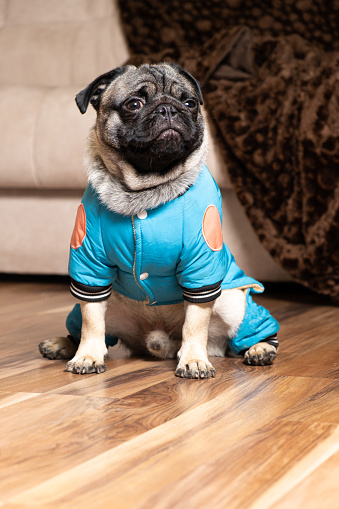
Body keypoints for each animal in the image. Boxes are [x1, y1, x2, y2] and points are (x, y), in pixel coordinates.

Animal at [38, 62, 280, 378]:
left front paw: (193, 360)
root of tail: (157, 341)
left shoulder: (200, 269)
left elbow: (194, 323)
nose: (168, 109)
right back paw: (63, 344)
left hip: (233, 302)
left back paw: (260, 348)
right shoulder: (90, 267)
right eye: (134, 104)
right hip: (87, 308)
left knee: (246, 332)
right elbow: (92, 321)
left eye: (189, 103)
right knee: (86, 324)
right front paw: (87, 356)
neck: (146, 190)